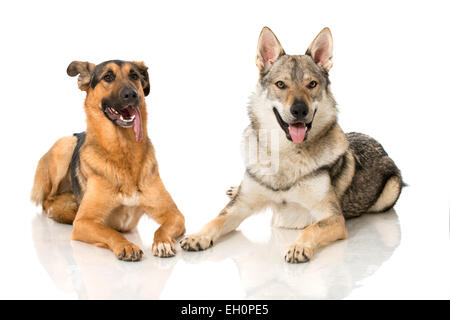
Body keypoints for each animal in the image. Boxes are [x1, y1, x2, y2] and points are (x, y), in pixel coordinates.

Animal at [31, 59, 185, 260]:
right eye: (108, 77)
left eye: (134, 76)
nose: (132, 94)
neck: (123, 151)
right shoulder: (84, 222)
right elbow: (110, 231)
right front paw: (127, 245)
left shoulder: (174, 214)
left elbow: (162, 228)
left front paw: (163, 242)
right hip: (65, 145)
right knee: (47, 200)